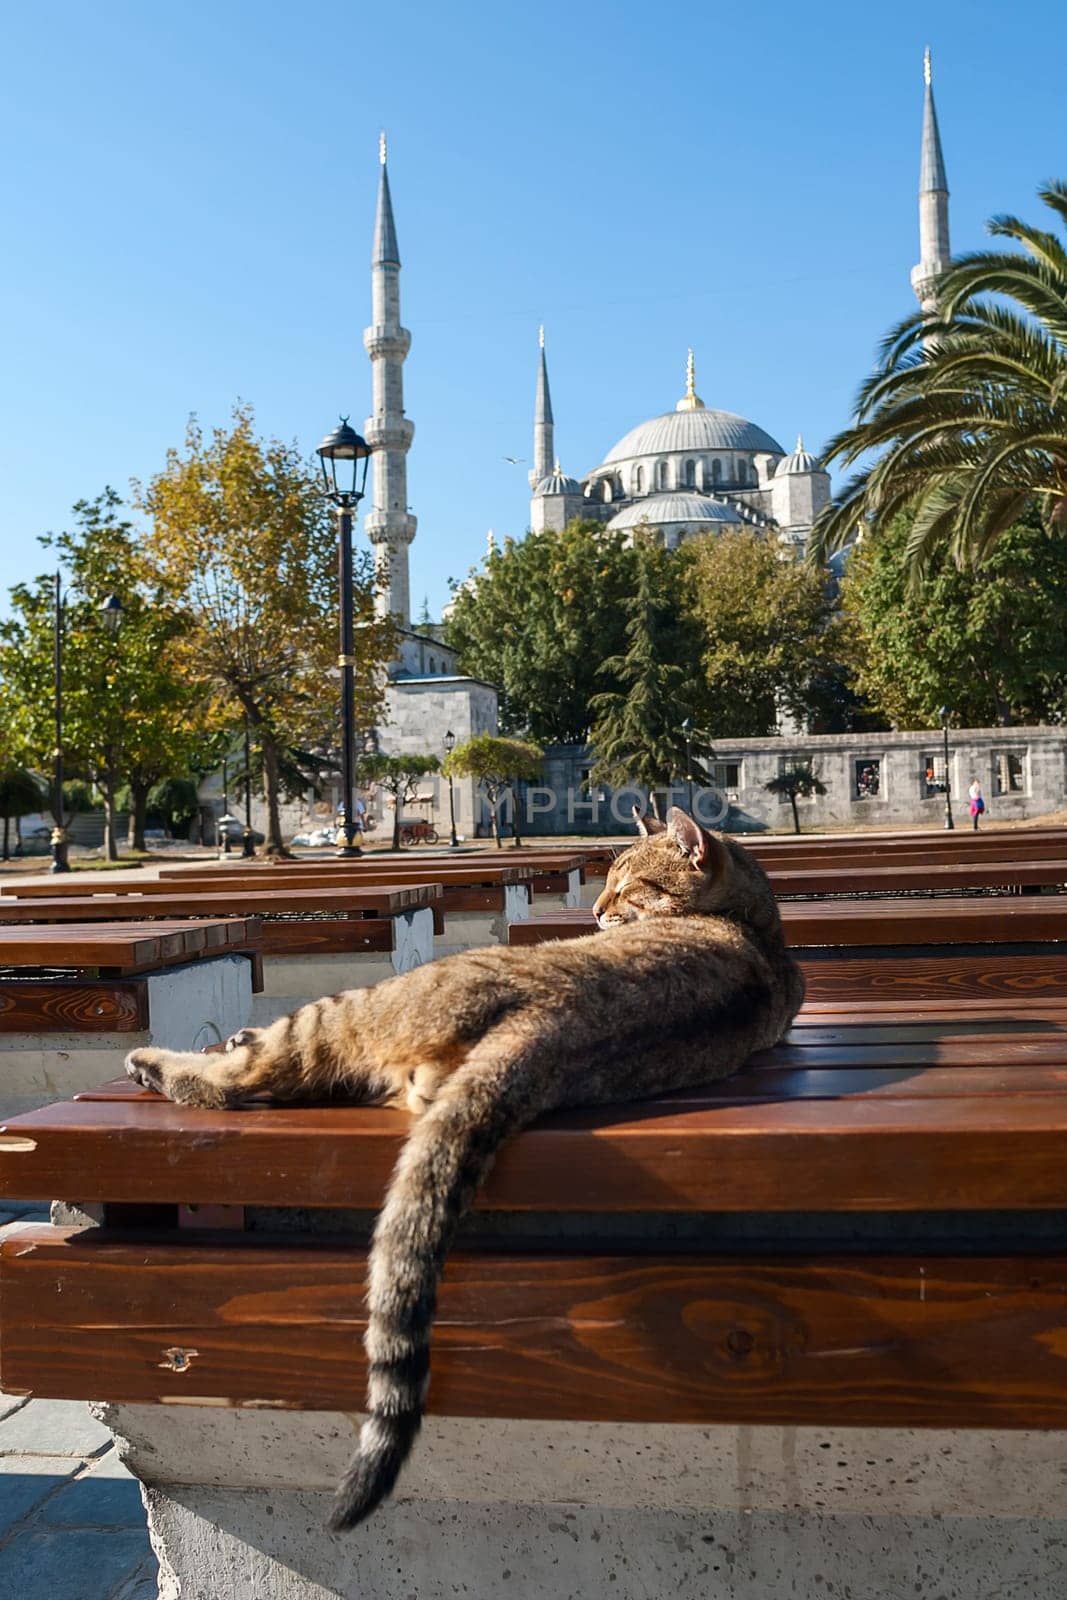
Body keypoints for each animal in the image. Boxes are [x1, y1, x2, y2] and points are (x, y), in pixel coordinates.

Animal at [125, 806, 806, 1529]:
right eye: (606, 881)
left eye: (625, 886)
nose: (594, 910)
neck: (756, 929)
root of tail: (546, 1027)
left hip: (350, 1008)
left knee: (242, 1079)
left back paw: (162, 1062)